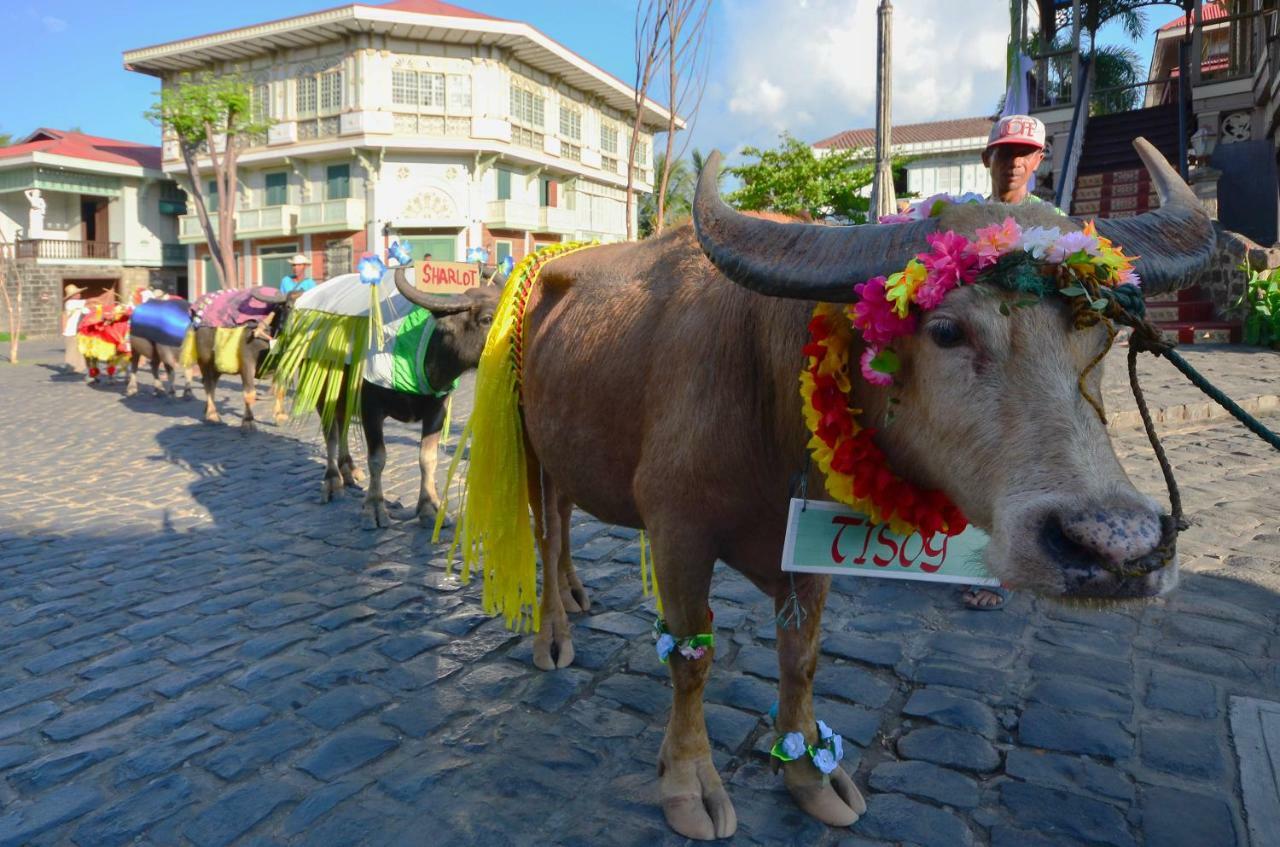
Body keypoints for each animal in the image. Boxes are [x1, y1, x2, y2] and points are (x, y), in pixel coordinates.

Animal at [499, 136, 1208, 839]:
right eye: (946, 330)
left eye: (1103, 331)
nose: (1118, 544)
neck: (770, 385)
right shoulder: (677, 532)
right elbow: (690, 659)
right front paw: (688, 782)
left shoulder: (808, 542)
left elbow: (802, 656)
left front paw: (810, 769)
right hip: (529, 447)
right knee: (546, 532)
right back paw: (552, 634)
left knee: (565, 521)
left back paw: (578, 594)